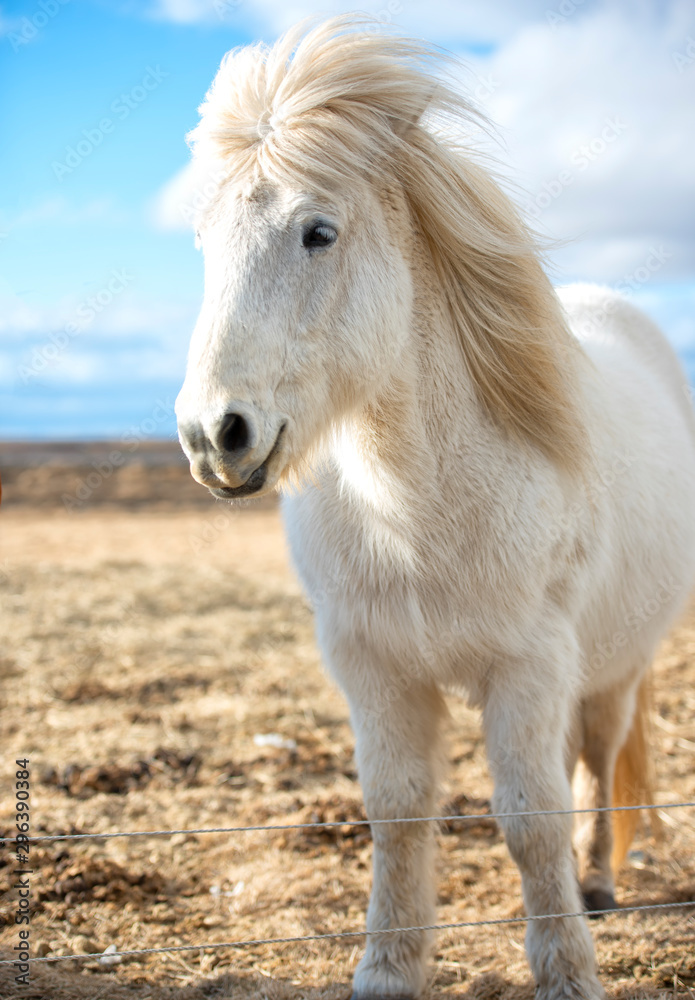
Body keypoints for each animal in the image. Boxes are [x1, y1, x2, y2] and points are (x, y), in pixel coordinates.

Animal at [177, 17, 695, 1000]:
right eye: (204, 243)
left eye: (318, 231)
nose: (213, 434)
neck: (414, 511)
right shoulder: (374, 669)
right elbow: (397, 813)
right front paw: (388, 967)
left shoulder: (528, 665)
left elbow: (530, 819)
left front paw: (566, 971)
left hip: (610, 667)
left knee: (594, 757)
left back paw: (596, 884)